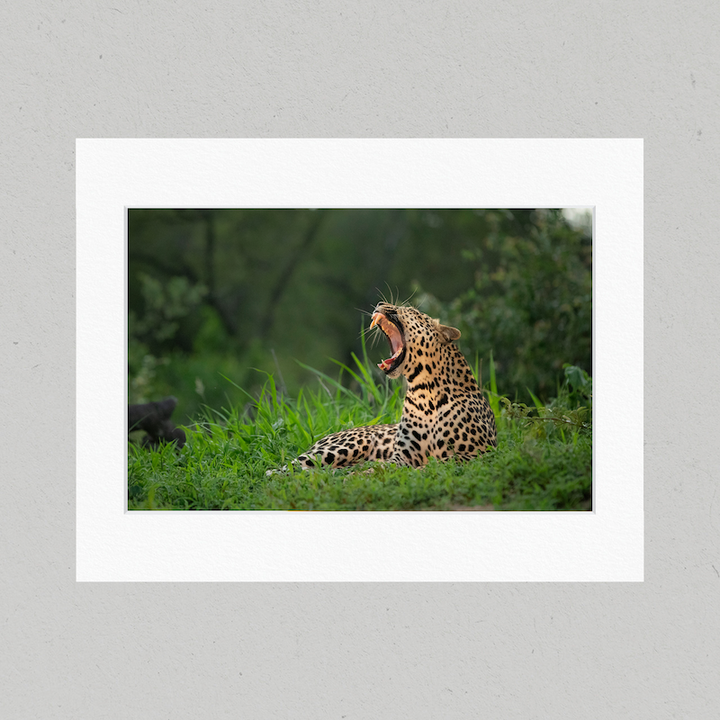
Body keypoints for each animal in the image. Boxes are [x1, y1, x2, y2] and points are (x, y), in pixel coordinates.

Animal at [274, 301, 497, 472]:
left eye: (411, 310)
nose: (380, 303)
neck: (425, 392)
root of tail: (323, 437)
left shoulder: (480, 452)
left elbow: (441, 462)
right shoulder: (403, 456)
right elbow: (382, 467)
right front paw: (359, 476)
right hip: (344, 446)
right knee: (282, 470)